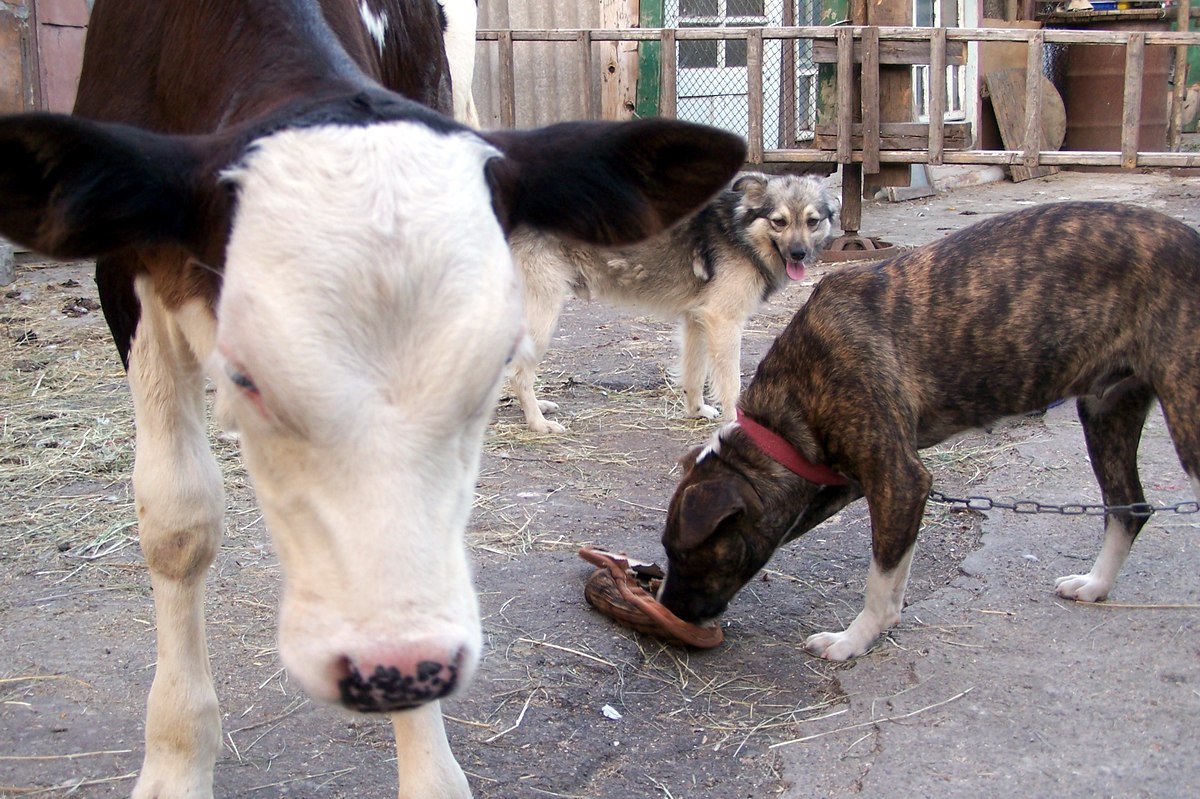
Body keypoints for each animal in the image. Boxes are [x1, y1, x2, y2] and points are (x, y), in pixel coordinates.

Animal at [0, 3, 744, 791]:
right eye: (244, 374)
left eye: (493, 364)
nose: (396, 666)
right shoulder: (127, 273)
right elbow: (178, 522)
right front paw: (175, 766)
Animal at [506, 172, 835, 429]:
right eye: (779, 221)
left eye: (812, 221)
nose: (799, 254)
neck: (738, 232)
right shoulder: (724, 322)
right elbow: (731, 383)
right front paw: (735, 424)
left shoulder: (697, 320)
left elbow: (694, 373)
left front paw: (696, 411)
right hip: (543, 316)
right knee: (519, 375)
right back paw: (538, 423)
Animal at [657, 200, 1200, 657]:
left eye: (687, 553)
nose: (667, 610)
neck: (789, 414)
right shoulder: (850, 480)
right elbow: (893, 569)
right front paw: (882, 624)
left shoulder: (898, 480)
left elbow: (879, 578)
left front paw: (853, 640)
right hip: (1106, 411)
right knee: (1129, 507)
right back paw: (1096, 585)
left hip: (1186, 419)